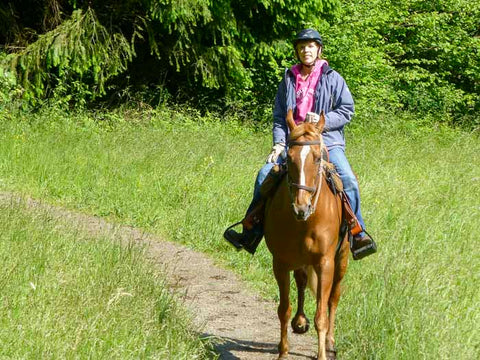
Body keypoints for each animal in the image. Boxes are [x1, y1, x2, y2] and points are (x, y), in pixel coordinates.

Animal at [264, 111, 346, 360]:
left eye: (318, 158)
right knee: (300, 281)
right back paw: (299, 322)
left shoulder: (325, 263)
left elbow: (321, 314)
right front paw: (283, 352)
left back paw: (330, 342)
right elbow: (283, 308)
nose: (301, 206)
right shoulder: (280, 263)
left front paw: (321, 354)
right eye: (289, 158)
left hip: (342, 260)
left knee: (334, 297)